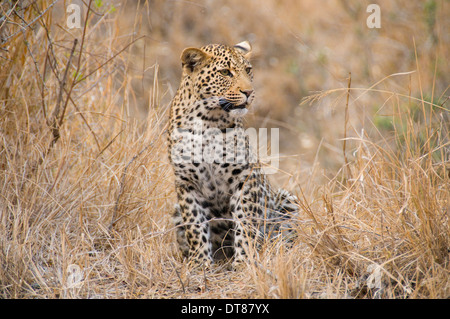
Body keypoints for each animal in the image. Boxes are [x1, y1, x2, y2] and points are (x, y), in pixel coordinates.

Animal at [167, 40, 298, 270]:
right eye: (225, 72)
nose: (249, 92)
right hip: (176, 211)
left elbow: (245, 223)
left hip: (287, 199)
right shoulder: (186, 183)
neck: (207, 120)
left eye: (248, 70)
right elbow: (195, 225)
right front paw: (201, 264)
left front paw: (244, 261)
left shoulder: (244, 177)